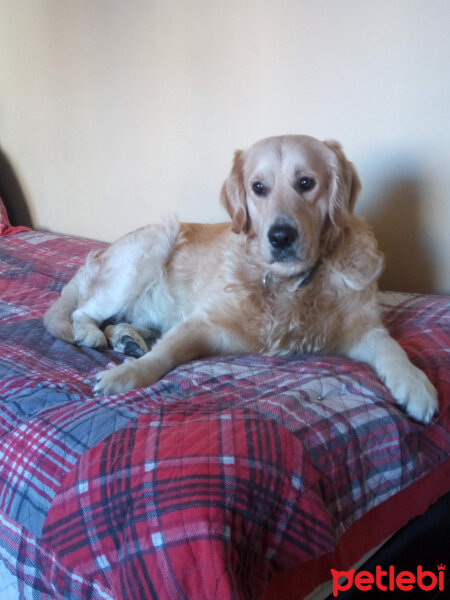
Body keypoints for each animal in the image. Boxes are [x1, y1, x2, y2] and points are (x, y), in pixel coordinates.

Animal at [44, 135, 438, 422]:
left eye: (306, 183)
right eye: (258, 187)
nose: (281, 236)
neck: (286, 284)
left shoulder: (362, 329)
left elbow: (391, 346)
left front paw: (415, 384)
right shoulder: (203, 323)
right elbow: (166, 353)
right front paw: (127, 374)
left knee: (122, 322)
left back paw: (127, 338)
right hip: (150, 246)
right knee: (83, 311)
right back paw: (94, 334)